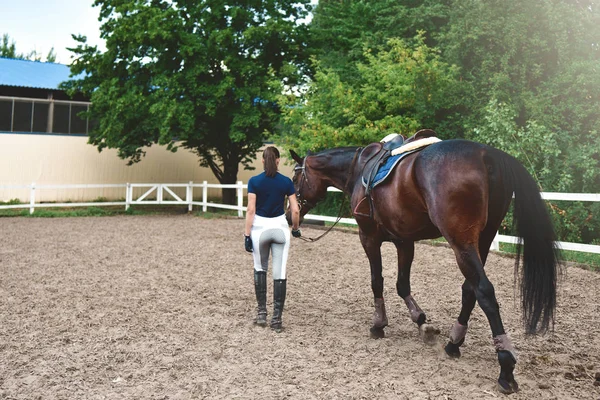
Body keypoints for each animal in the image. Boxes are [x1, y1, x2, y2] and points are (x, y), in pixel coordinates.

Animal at [288, 135, 560, 394]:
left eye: (295, 177)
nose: (290, 214)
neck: (359, 168)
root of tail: (486, 153)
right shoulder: (404, 241)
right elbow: (402, 284)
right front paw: (421, 321)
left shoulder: (368, 237)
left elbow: (377, 281)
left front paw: (378, 324)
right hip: (482, 241)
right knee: (469, 289)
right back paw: (454, 343)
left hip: (461, 243)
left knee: (484, 292)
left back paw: (505, 368)